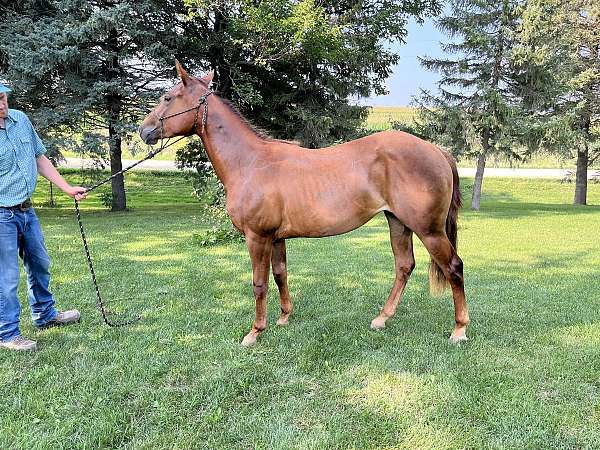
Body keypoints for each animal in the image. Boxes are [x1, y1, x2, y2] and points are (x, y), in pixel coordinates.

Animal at [139, 61, 468, 346]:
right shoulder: (275, 238)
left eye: (167, 97)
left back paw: (459, 329)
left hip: (429, 230)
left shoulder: (257, 237)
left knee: (453, 267)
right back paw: (382, 318)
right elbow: (280, 274)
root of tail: (437, 151)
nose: (144, 130)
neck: (251, 162)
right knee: (404, 266)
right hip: (397, 222)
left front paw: (255, 332)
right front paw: (284, 317)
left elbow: (259, 283)